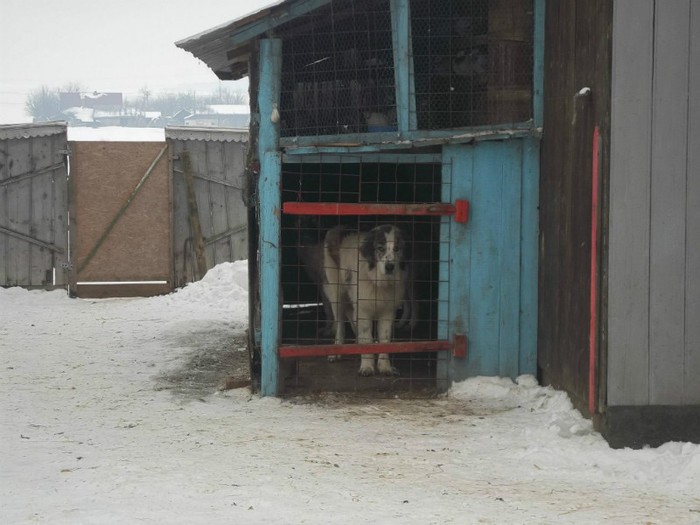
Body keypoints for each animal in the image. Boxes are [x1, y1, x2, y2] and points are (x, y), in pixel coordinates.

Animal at [322, 223, 410, 374]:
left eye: (397, 248)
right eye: (380, 248)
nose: (390, 266)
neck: (379, 281)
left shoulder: (387, 311)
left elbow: (384, 338)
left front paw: (385, 367)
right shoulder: (363, 309)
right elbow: (367, 338)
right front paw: (367, 366)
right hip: (337, 293)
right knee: (340, 323)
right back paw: (336, 350)